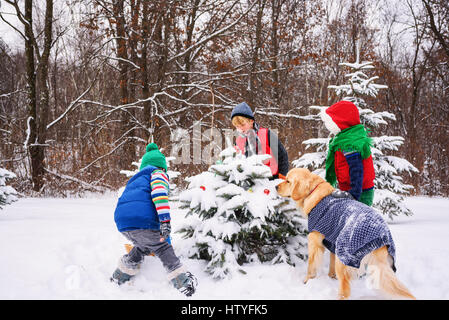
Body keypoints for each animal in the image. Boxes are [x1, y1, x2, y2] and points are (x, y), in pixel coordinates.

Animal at [274, 168, 414, 300]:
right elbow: (330, 262)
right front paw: (331, 277)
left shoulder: (314, 240)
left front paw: (307, 281)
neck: (313, 192)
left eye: (288, 181)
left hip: (344, 257)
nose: (275, 186)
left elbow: (311, 265)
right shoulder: (332, 241)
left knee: (345, 289)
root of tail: (380, 234)